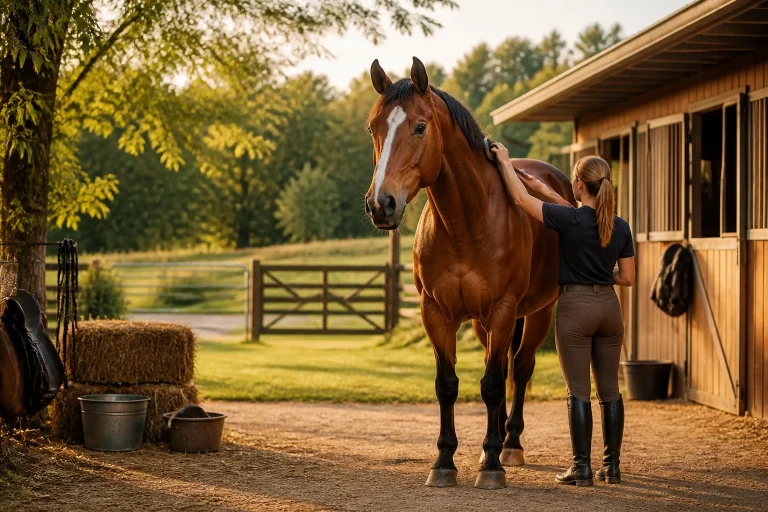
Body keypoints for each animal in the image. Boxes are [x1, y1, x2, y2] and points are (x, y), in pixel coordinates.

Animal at [364, 57, 576, 490]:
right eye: (373, 128)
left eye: (420, 127)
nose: (381, 204)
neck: (466, 222)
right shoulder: (436, 314)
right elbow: (448, 386)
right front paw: (444, 461)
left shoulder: (503, 310)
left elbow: (494, 384)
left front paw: (492, 465)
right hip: (483, 324)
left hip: (536, 313)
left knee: (519, 369)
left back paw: (508, 444)